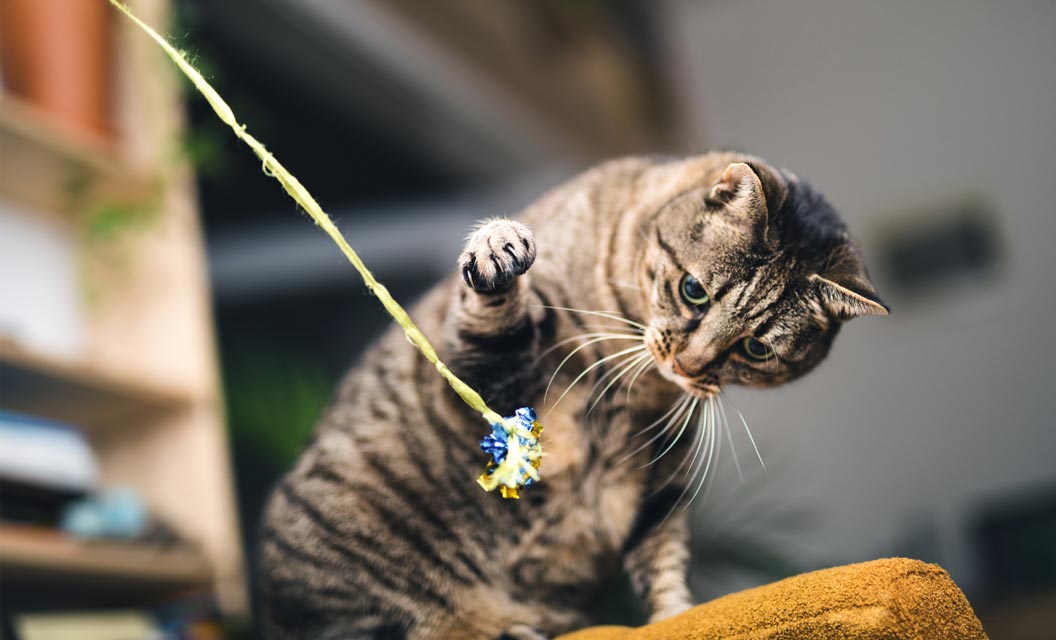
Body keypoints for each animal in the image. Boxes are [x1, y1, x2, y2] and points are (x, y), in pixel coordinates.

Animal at [259, 152, 887, 640]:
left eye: (757, 349)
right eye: (694, 291)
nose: (688, 366)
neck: (641, 382)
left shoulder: (661, 479)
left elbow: (663, 561)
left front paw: (679, 615)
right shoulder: (487, 378)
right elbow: (491, 317)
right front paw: (497, 251)